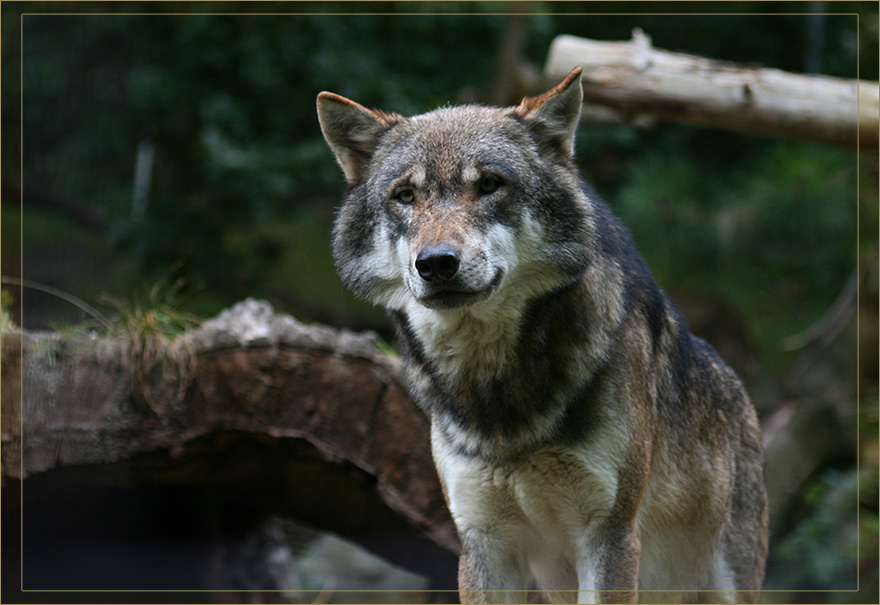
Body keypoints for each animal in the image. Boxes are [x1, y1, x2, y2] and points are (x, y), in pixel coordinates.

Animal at [317, 68, 768, 604]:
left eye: (489, 185)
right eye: (405, 195)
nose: (436, 264)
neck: (496, 392)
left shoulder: (609, 537)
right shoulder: (483, 543)